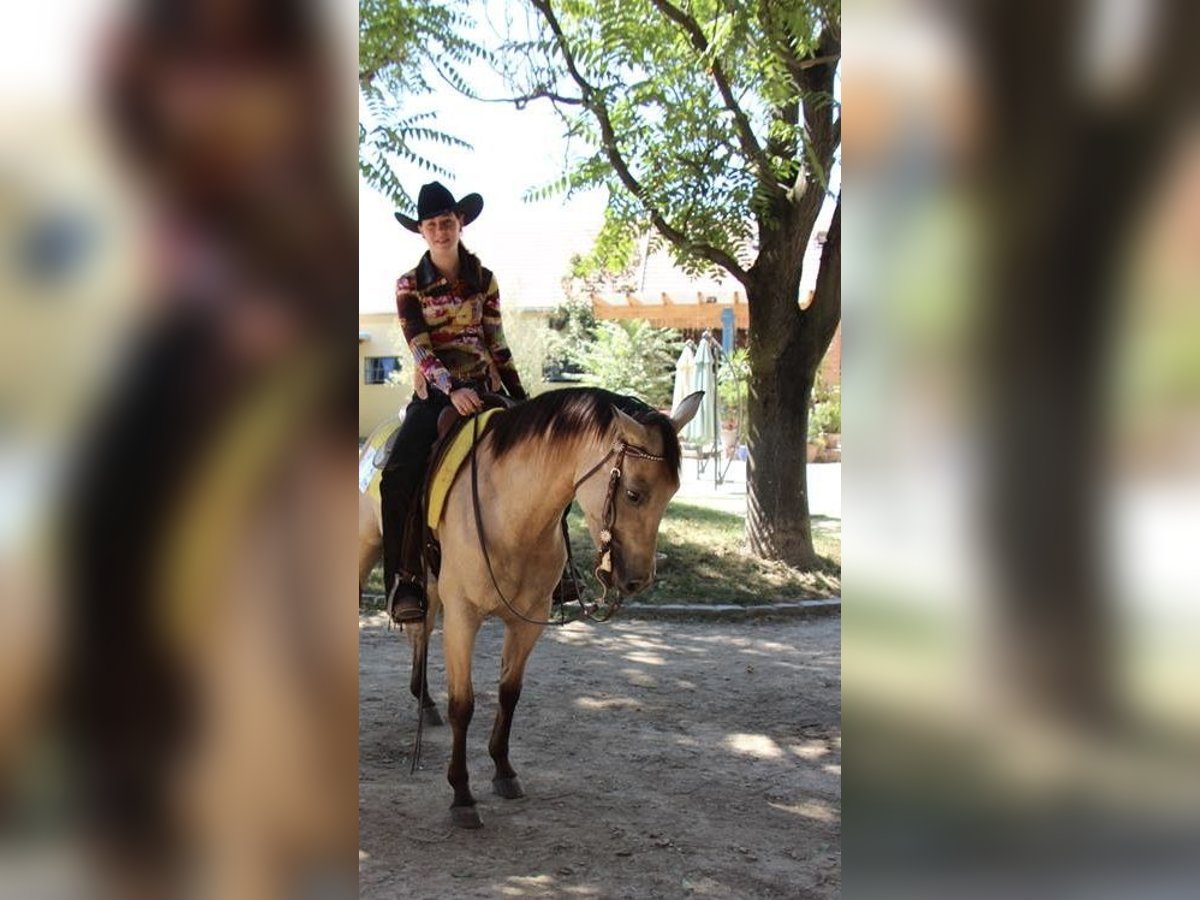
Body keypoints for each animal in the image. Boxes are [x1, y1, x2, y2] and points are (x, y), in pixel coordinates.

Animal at [364, 388, 700, 830]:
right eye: (634, 493)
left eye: (673, 492)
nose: (637, 580)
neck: (510, 510)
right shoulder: (463, 617)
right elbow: (463, 705)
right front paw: (462, 794)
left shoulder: (530, 620)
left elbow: (509, 694)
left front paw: (503, 771)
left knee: (420, 630)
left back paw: (425, 701)